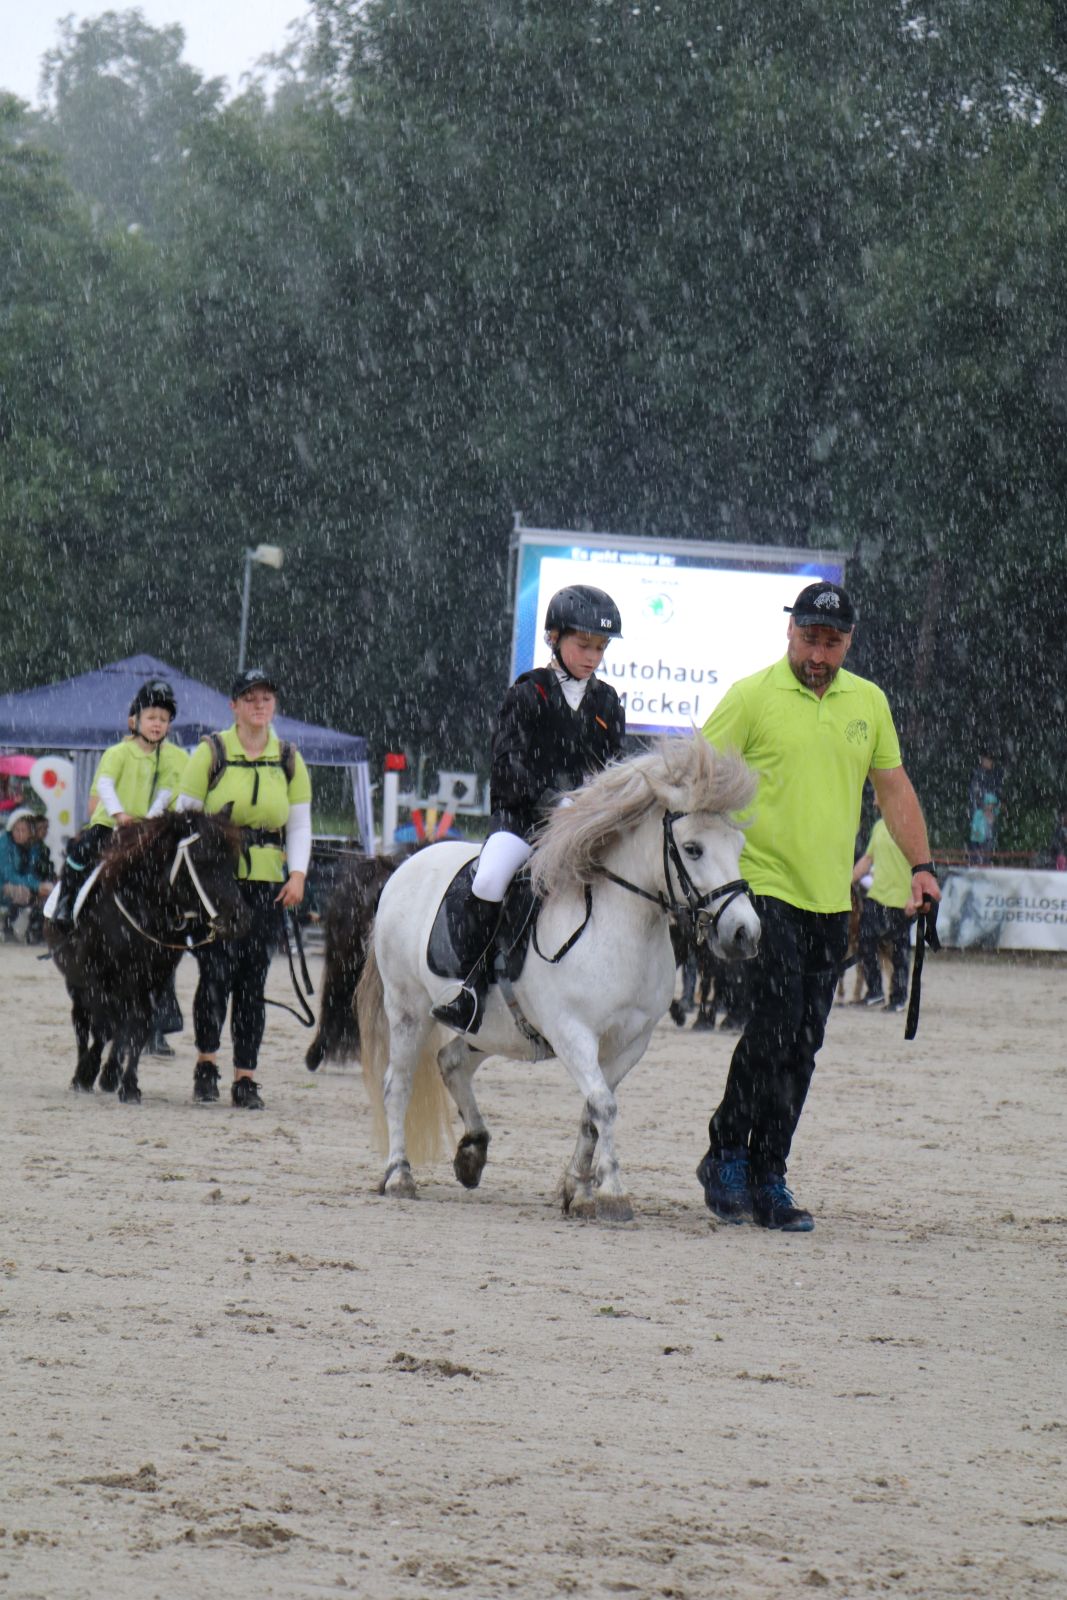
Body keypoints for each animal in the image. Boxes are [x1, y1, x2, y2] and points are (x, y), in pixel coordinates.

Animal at [48, 811, 249, 1103]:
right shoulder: (95, 979)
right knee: (83, 1021)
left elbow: (138, 1027)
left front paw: (128, 1085)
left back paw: (110, 1074)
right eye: (202, 861)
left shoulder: (152, 980)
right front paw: (86, 1073)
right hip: (77, 982)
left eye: (231, 864)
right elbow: (101, 1027)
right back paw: (83, 1071)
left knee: (118, 1025)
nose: (239, 919)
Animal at [357, 736, 761, 1221]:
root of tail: (407, 864)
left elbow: (592, 1110)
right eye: (694, 848)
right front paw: (613, 1193)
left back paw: (472, 1151)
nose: (744, 933)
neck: (620, 926)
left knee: (452, 1061)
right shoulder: (573, 1032)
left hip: (493, 1028)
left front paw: (580, 1191)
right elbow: (603, 1104)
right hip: (407, 1010)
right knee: (397, 1084)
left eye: (738, 845)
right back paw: (399, 1175)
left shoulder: (629, 1042)